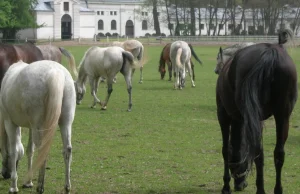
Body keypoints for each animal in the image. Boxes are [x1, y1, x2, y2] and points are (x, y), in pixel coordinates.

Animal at [0, 60, 75, 192]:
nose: (5, 174)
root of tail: (56, 72)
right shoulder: (31, 127)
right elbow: (30, 150)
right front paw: (28, 182)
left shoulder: (10, 123)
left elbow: (14, 151)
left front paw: (13, 186)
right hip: (65, 122)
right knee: (67, 149)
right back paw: (67, 187)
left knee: (43, 150)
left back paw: (40, 186)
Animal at [216, 28, 298, 194]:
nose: (240, 185)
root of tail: (270, 51)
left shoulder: (223, 115)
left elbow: (226, 149)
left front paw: (226, 186)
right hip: (282, 115)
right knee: (278, 153)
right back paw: (277, 189)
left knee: (258, 151)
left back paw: (260, 189)